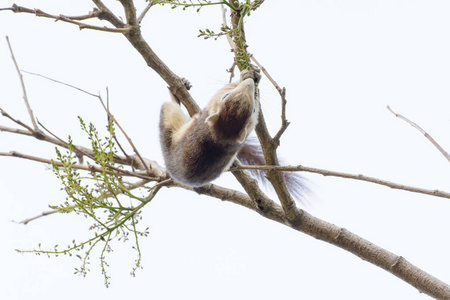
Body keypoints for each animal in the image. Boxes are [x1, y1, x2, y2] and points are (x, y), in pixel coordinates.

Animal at [158, 67, 306, 199]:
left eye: (253, 110)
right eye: (226, 96)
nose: (250, 83)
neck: (221, 136)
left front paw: (250, 77)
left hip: (169, 118)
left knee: (170, 106)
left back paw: (175, 94)